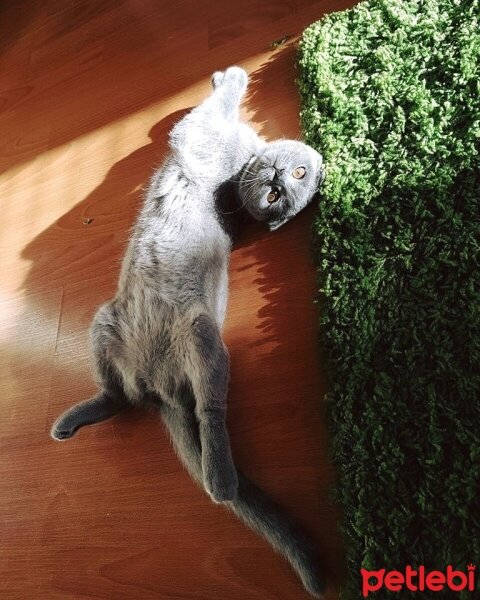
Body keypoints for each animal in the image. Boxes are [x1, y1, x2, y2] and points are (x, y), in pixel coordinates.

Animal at [51, 68, 326, 596]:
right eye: (286, 185)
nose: (278, 179)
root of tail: (161, 388)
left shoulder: (198, 134)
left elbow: (206, 111)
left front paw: (231, 77)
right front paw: (225, 79)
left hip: (200, 333)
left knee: (210, 410)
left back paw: (221, 480)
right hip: (106, 320)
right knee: (118, 395)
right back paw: (77, 419)